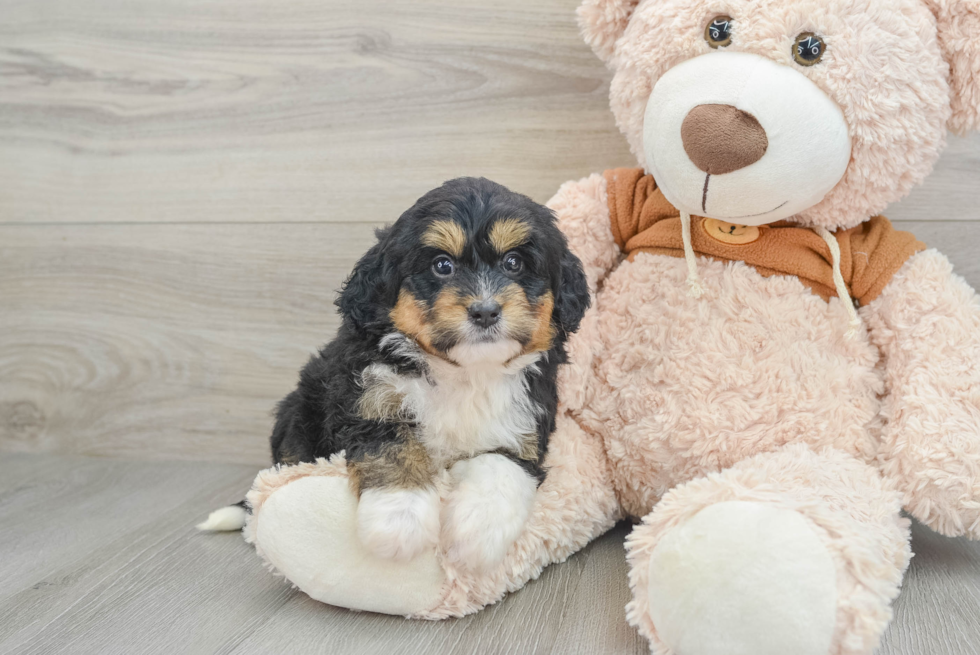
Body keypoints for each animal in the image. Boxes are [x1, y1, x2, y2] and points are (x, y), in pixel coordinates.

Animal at [201, 177, 588, 572]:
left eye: (514, 263)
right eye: (442, 265)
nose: (485, 311)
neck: (465, 371)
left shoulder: (526, 421)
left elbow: (501, 464)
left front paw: (476, 536)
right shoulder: (367, 399)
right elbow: (393, 445)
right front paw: (399, 520)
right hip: (299, 413)